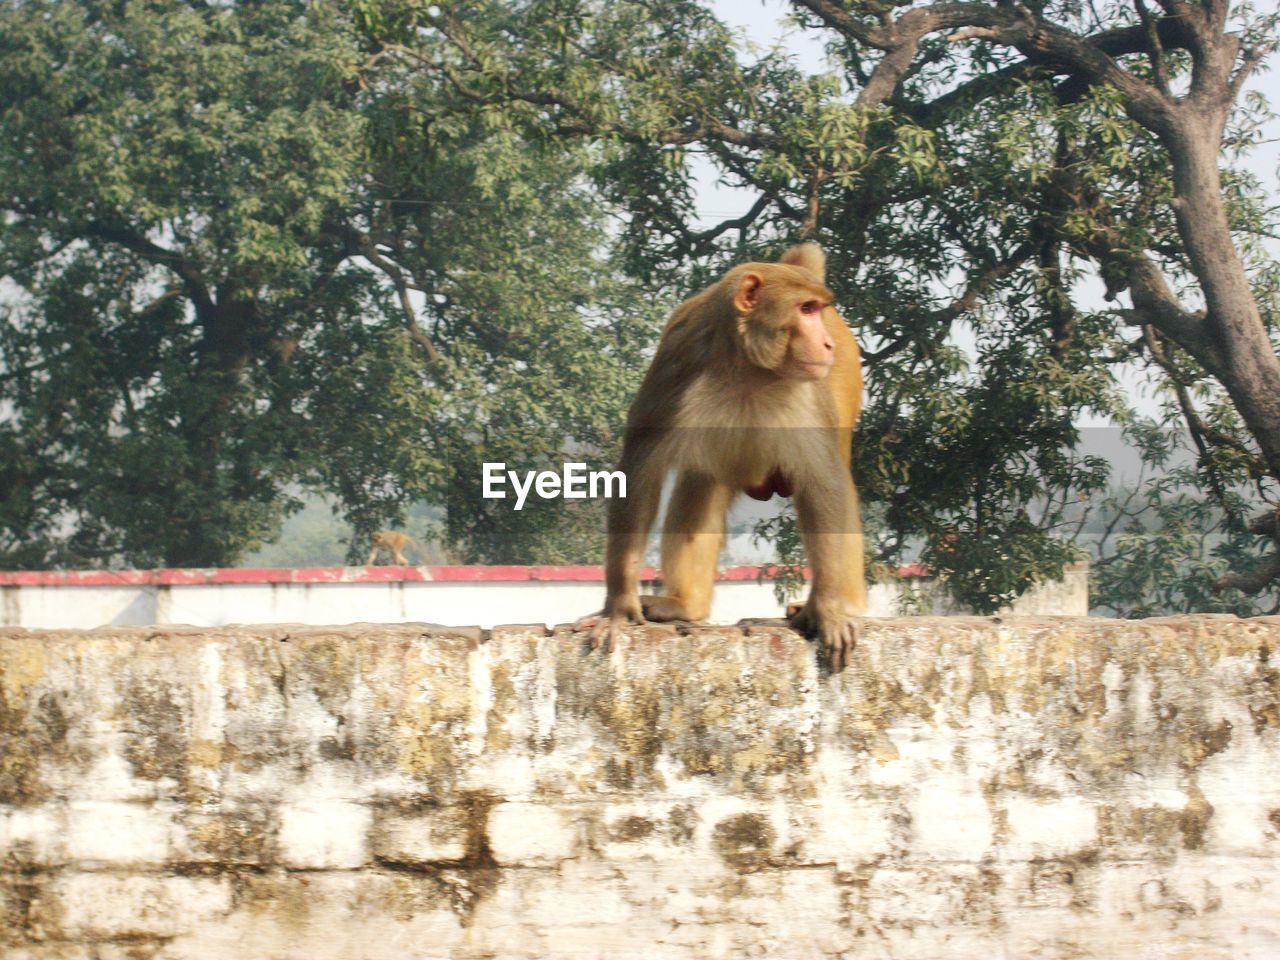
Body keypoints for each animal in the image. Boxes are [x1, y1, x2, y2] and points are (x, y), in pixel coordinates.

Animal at [583, 244, 870, 670]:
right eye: (805, 309)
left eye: (816, 309)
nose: (826, 345)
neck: (750, 367)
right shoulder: (678, 366)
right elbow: (641, 470)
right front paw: (619, 606)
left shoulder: (811, 393)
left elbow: (824, 482)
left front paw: (828, 611)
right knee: (700, 480)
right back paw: (684, 604)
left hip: (844, 376)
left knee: (836, 480)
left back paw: (845, 603)